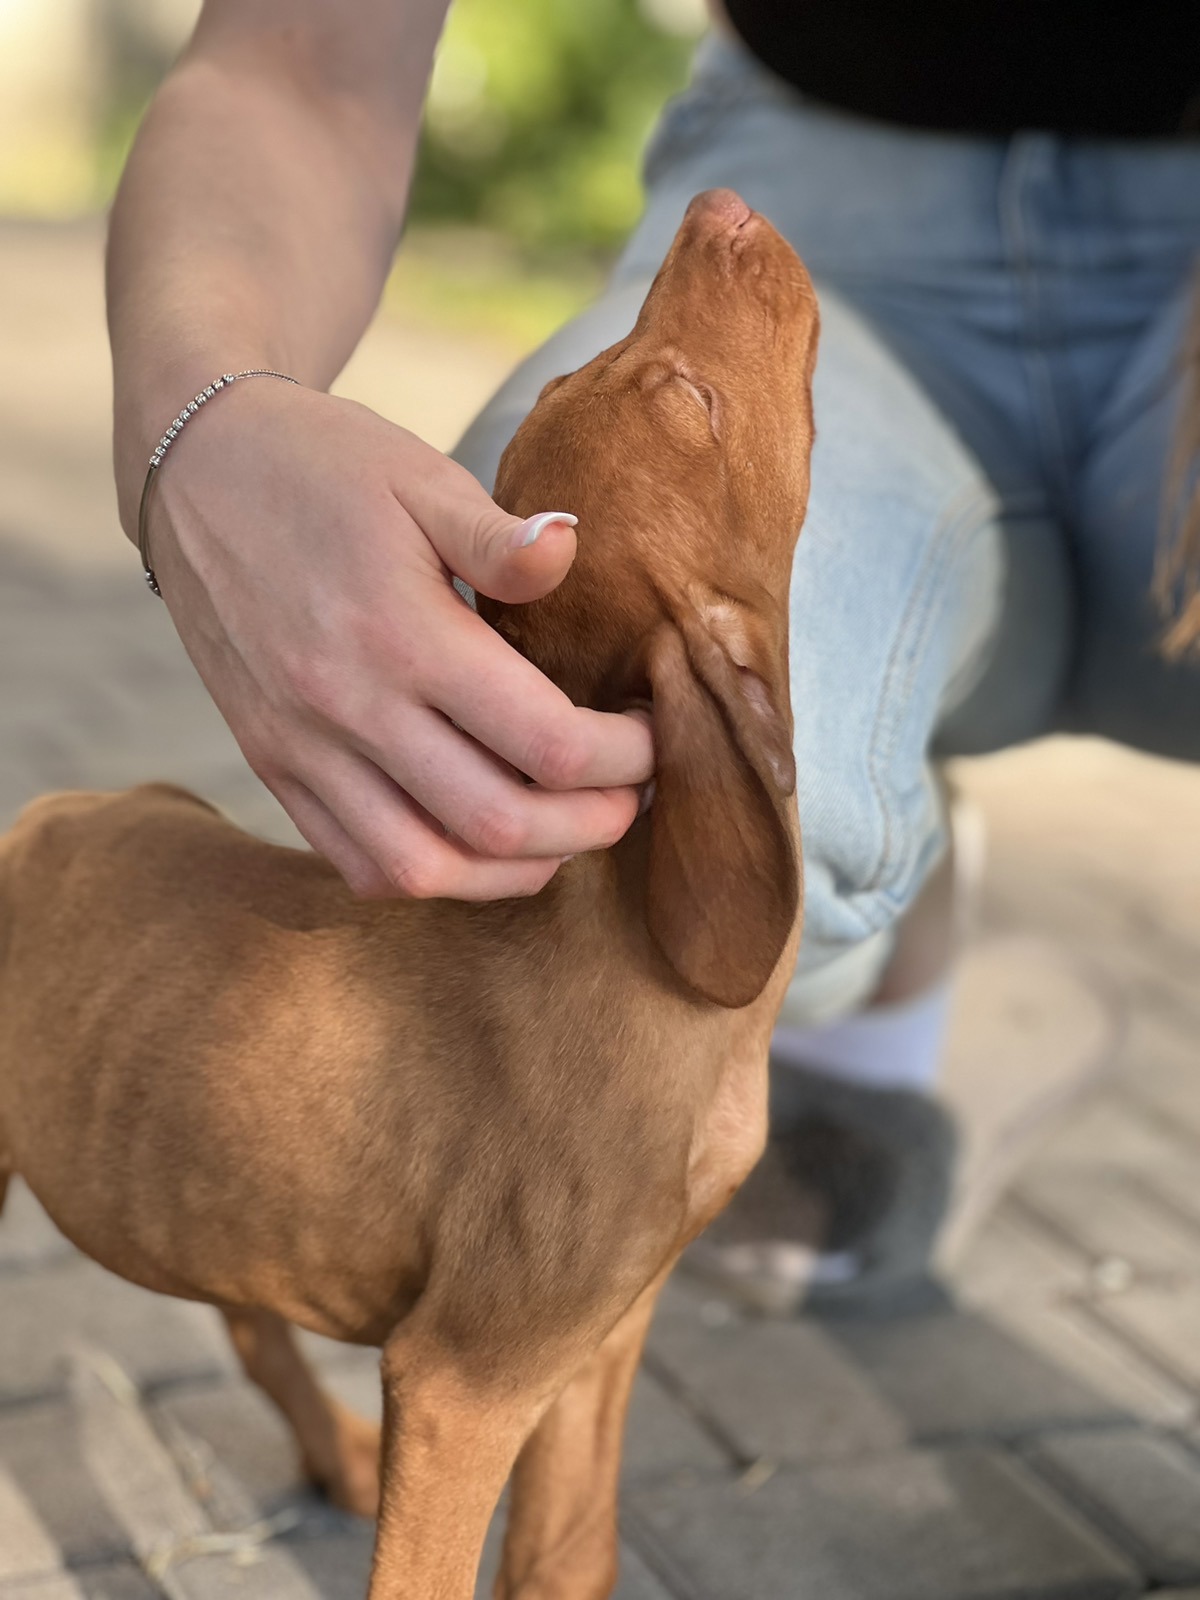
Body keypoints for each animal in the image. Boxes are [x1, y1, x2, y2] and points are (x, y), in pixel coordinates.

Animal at [0, 193, 819, 1600]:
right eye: (689, 396)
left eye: (649, 382)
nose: (723, 207)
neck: (637, 953)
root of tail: (43, 815)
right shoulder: (462, 1384)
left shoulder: (601, 1339)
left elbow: (566, 1558)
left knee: (244, 1313)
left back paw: (327, 1448)